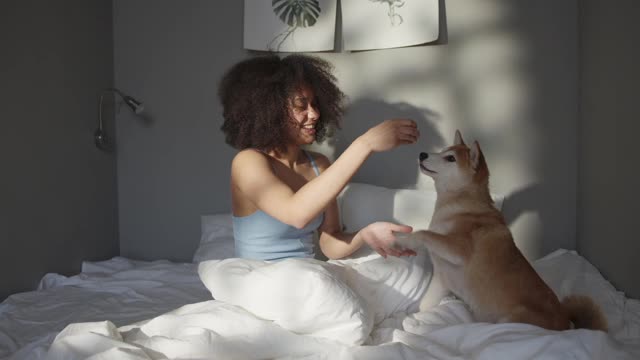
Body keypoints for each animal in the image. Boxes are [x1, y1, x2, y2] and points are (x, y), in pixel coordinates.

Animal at [398, 131, 608, 330]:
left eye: (450, 158)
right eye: (443, 150)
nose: (422, 154)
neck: (460, 206)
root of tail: (565, 324)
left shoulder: (459, 250)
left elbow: (424, 233)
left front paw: (403, 239)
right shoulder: (441, 281)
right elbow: (423, 306)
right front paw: (412, 321)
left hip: (508, 321)